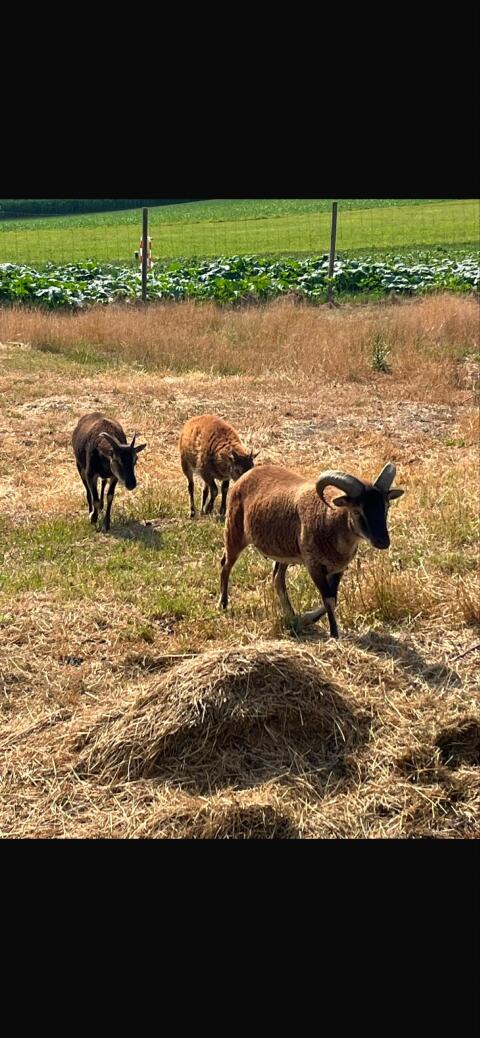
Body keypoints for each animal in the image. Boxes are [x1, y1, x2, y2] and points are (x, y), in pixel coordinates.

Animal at [219, 462, 404, 638]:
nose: (382, 542)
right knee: (225, 565)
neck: (329, 520)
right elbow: (328, 600)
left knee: (278, 579)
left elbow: (333, 598)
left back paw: (292, 617)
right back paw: (223, 604)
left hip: (284, 552)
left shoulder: (337, 569)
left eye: (386, 507)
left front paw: (306, 619)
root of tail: (246, 475)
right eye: (357, 511)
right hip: (234, 532)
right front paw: (334, 634)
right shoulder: (313, 565)